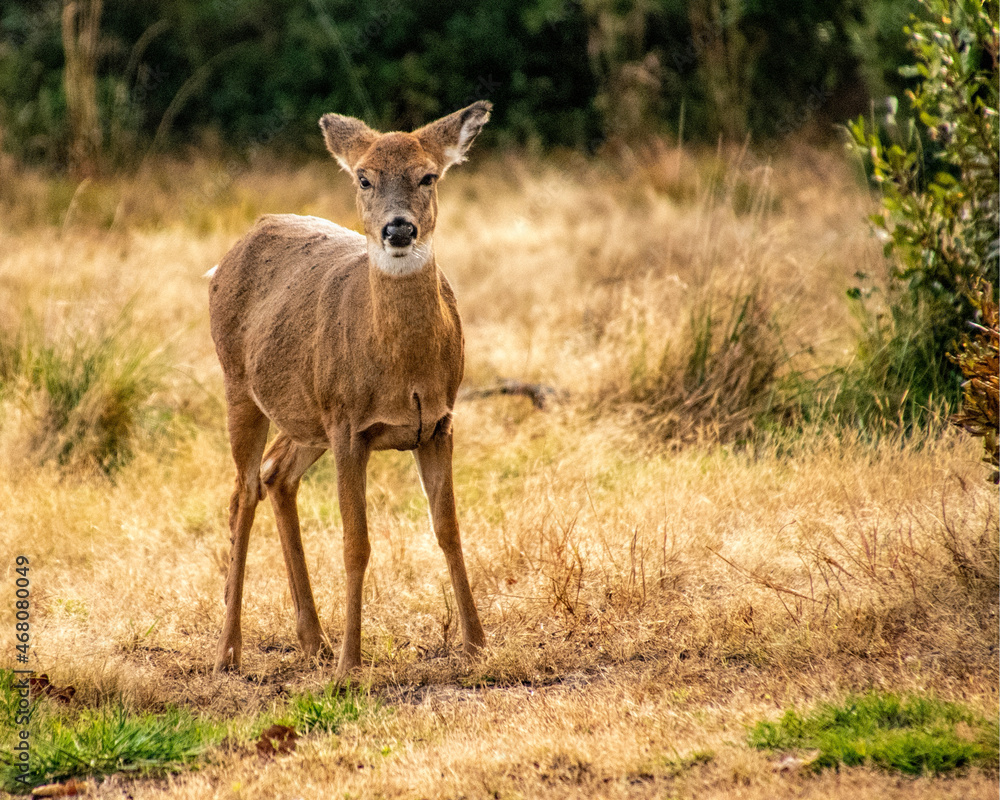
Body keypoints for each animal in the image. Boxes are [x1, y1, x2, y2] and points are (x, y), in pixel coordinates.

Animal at [208, 101, 491, 678]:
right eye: (364, 177)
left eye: (428, 175)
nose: (398, 228)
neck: (404, 373)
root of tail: (223, 262)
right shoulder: (347, 424)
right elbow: (355, 543)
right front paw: (349, 664)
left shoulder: (439, 421)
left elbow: (448, 528)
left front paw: (476, 645)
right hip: (241, 385)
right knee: (243, 491)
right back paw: (228, 651)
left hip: (306, 414)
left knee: (275, 475)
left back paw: (313, 639)